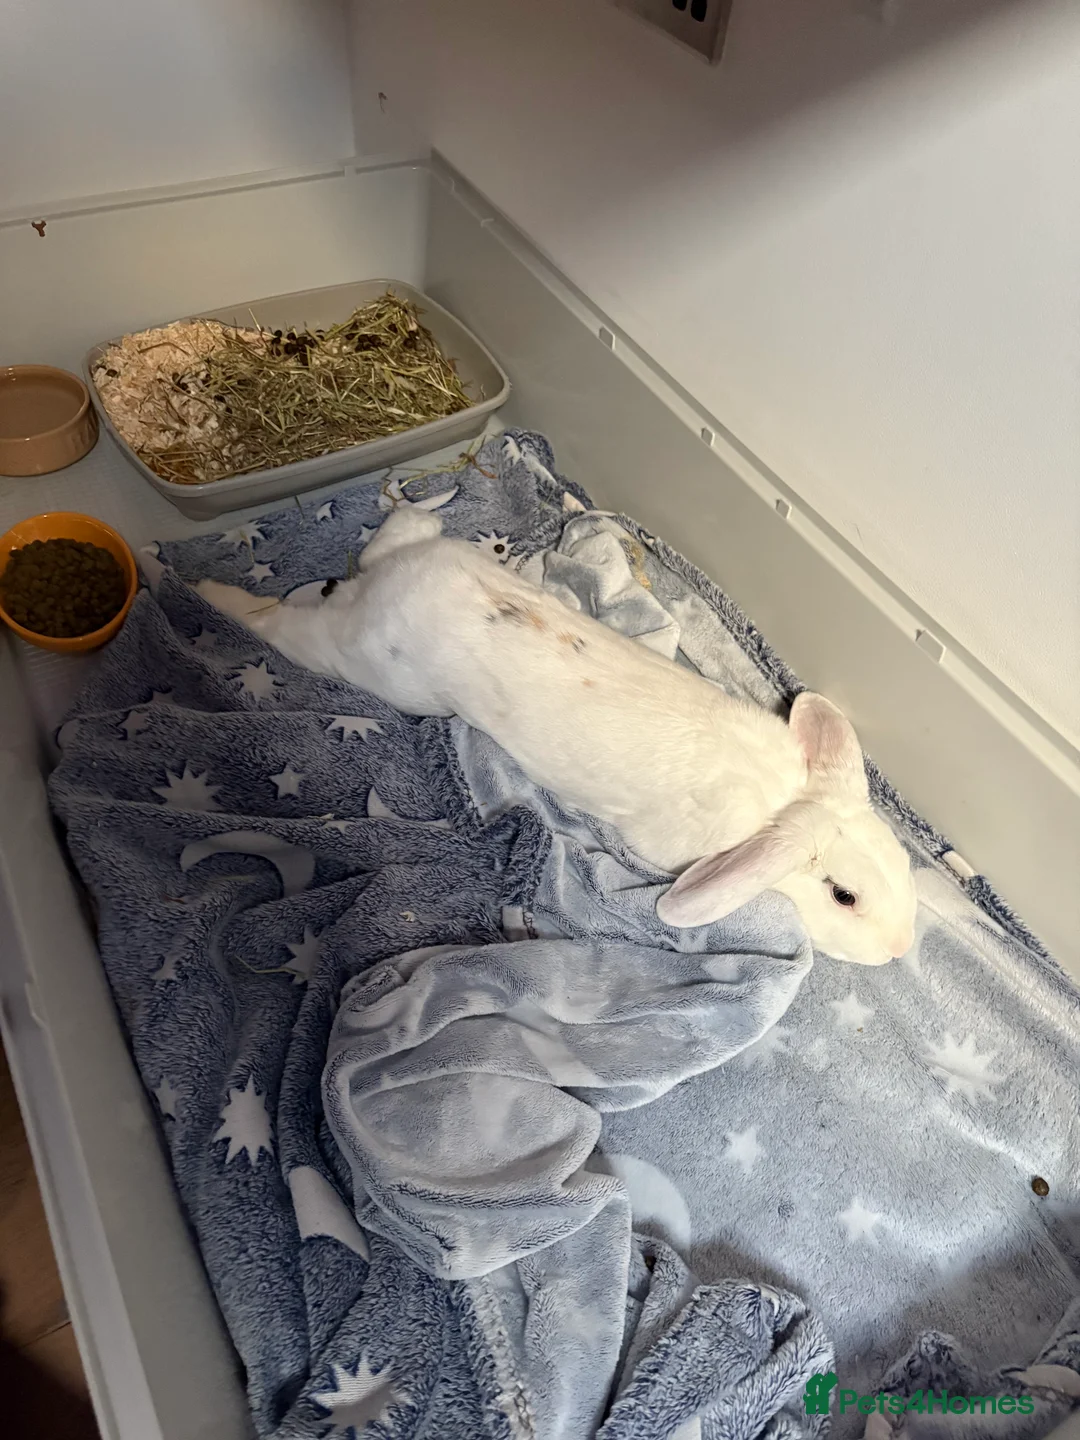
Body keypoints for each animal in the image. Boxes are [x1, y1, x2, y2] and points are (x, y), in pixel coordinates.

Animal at [197, 507, 916, 965]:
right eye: (845, 897)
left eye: (905, 868)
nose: (901, 949)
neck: (778, 800)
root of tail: (391, 588)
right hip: (366, 665)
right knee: (282, 626)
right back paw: (212, 591)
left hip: (423, 556)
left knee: (396, 536)